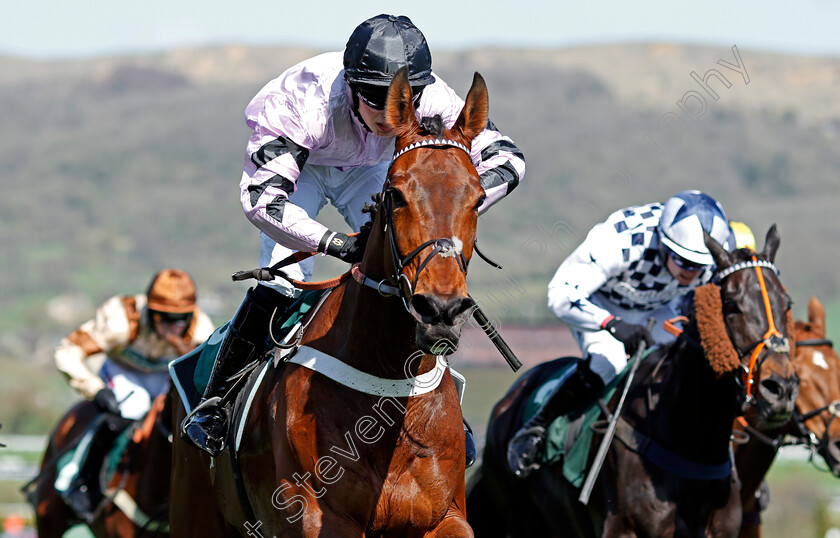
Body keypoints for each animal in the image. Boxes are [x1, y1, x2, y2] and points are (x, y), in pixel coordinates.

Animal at [171, 68, 496, 536]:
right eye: (396, 195)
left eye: (478, 198)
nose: (442, 311)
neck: (388, 385)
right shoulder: (318, 514)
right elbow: (264, 197)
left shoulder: (446, 517)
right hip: (194, 511)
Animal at [466, 224, 800, 532]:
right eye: (731, 304)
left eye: (787, 303)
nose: (780, 389)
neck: (692, 442)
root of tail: (507, 400)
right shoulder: (624, 527)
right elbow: (565, 290)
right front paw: (629, 332)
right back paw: (527, 442)